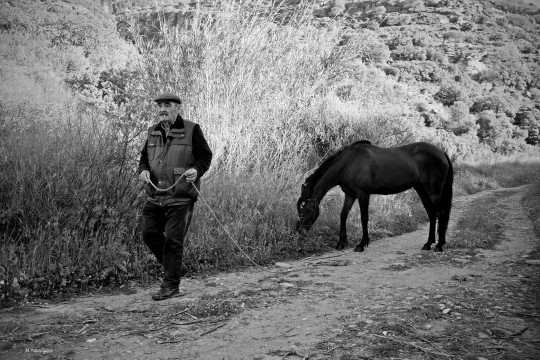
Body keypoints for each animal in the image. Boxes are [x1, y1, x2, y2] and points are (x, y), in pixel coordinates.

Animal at [298, 139, 454, 252]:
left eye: (309, 210)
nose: (299, 231)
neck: (349, 163)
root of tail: (442, 152)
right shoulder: (350, 194)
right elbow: (343, 215)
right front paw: (341, 243)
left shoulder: (363, 194)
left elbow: (364, 218)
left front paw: (362, 244)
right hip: (421, 190)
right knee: (432, 214)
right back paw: (428, 244)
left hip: (433, 192)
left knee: (441, 213)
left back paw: (439, 246)